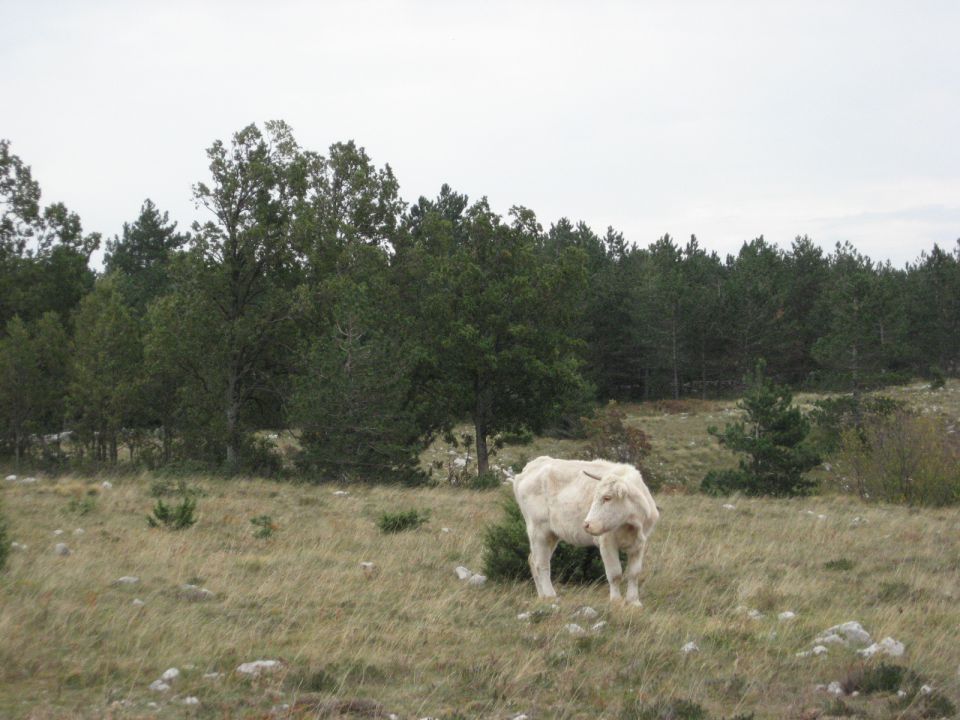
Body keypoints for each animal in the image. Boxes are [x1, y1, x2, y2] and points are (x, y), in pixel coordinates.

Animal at [510, 458, 660, 604]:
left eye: (607, 497)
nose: (586, 524)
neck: (632, 524)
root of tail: (531, 466)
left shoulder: (639, 543)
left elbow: (634, 573)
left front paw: (634, 602)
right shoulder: (607, 542)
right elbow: (615, 573)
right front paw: (616, 601)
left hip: (551, 535)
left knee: (533, 560)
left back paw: (542, 596)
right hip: (538, 530)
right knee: (541, 564)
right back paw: (550, 596)